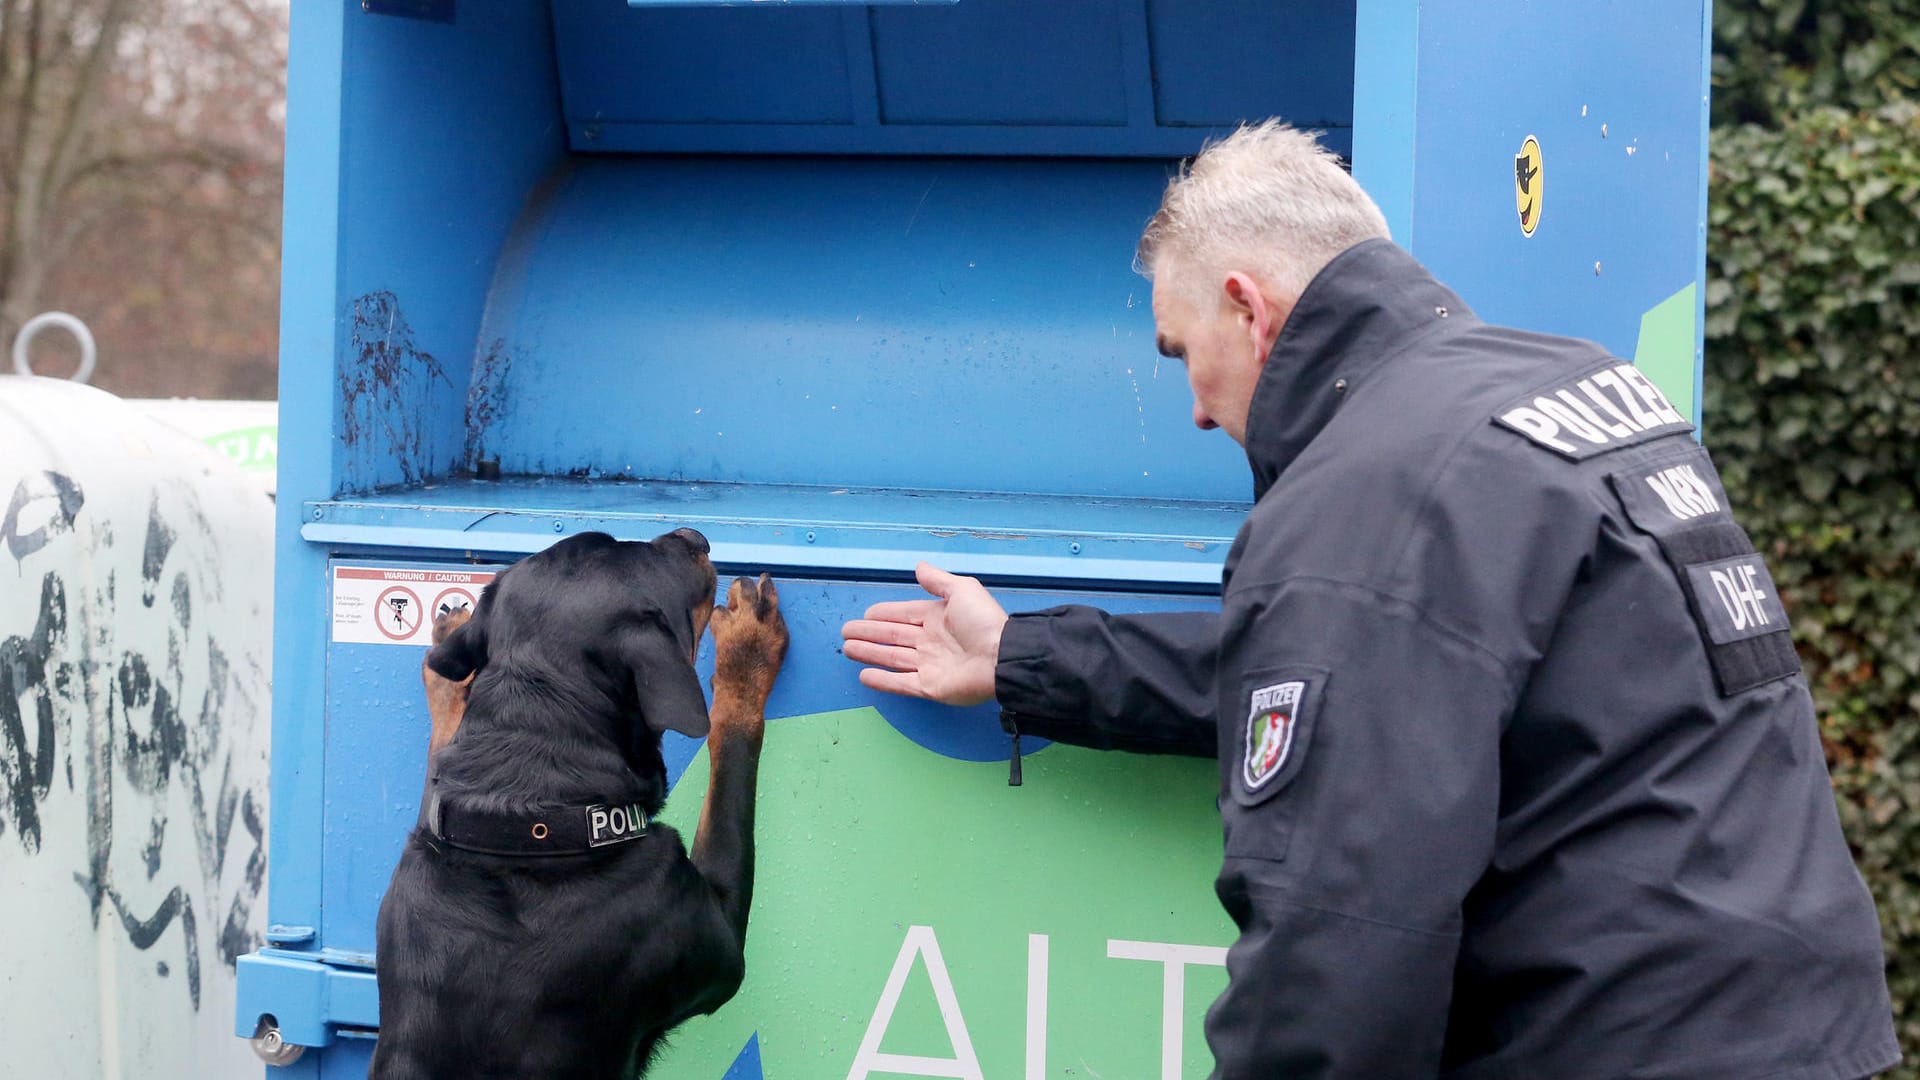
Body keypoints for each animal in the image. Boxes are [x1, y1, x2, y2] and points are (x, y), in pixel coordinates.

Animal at [366, 526, 787, 1068]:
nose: (695, 535)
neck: (534, 823)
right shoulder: (721, 944)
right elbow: (732, 748)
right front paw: (747, 651)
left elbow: (441, 756)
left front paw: (448, 671)